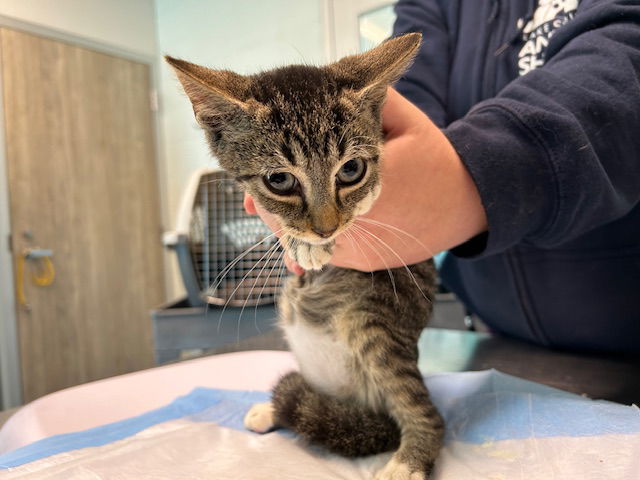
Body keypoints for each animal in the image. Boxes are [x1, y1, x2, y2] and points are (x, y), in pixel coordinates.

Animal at [168, 31, 442, 478]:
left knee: (420, 406)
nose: (326, 228)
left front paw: (318, 244)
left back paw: (409, 460)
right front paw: (301, 243)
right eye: (280, 180)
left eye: (351, 170)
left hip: (375, 321)